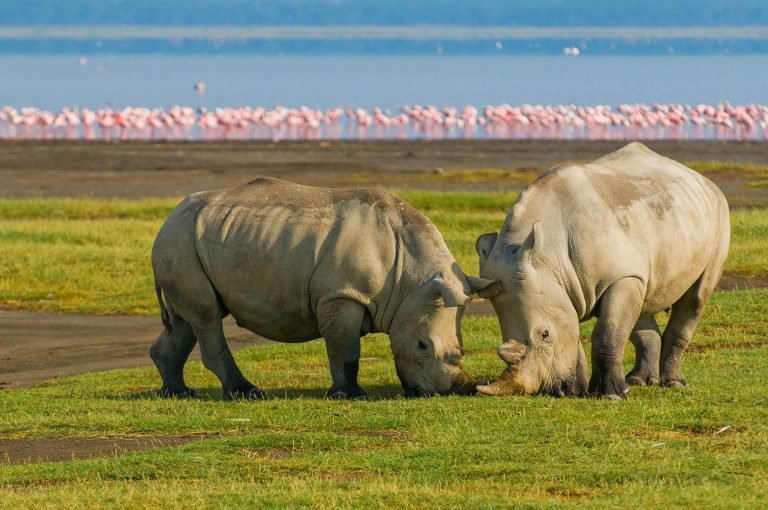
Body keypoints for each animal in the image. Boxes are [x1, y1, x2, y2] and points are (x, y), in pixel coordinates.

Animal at [151, 177, 487, 399]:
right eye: (422, 346)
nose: (458, 389)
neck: (412, 279)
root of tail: (169, 217)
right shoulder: (342, 294)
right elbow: (345, 348)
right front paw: (350, 396)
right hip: (181, 239)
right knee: (206, 315)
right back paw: (246, 393)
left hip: (190, 240)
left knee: (186, 319)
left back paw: (179, 393)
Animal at [474, 142, 730, 399]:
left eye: (544, 334)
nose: (553, 391)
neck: (547, 257)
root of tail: (701, 178)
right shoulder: (562, 288)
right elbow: (574, 331)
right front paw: (579, 390)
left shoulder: (618, 277)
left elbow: (607, 334)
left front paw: (610, 395)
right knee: (643, 300)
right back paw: (639, 381)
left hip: (719, 213)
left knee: (695, 298)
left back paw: (673, 383)